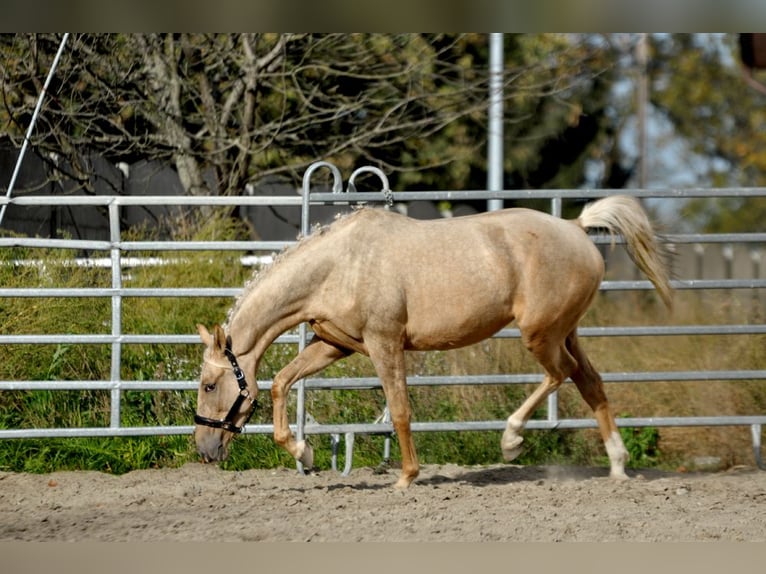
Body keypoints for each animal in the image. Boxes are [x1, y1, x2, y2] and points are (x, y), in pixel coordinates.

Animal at [194, 198, 672, 490]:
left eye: (208, 385)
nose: (204, 450)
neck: (340, 265)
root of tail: (576, 228)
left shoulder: (385, 344)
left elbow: (401, 411)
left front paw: (406, 477)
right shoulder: (334, 344)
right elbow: (280, 382)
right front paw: (304, 453)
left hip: (539, 334)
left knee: (561, 374)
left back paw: (511, 440)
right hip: (564, 331)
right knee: (590, 382)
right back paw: (617, 465)